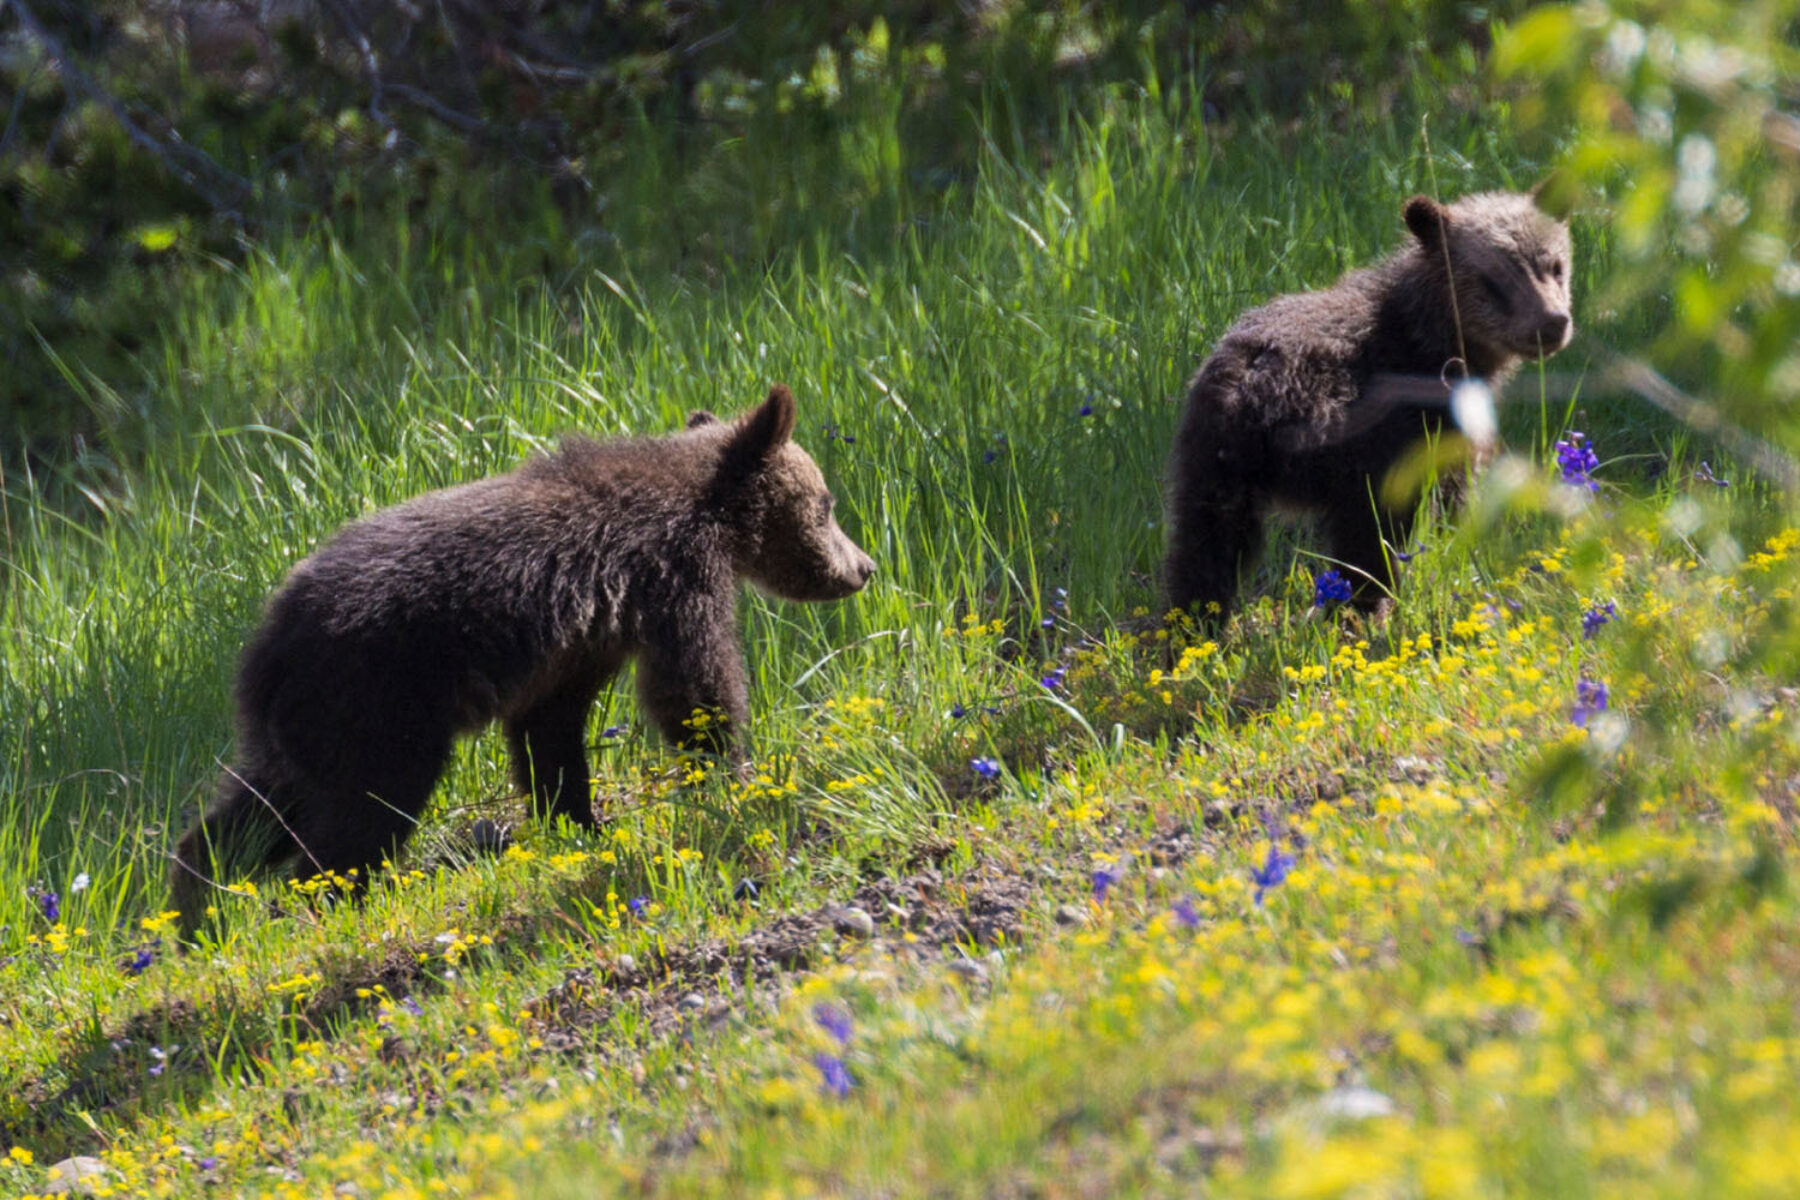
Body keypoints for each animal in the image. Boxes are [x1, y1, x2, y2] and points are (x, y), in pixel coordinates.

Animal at [170, 385, 874, 934]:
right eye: (827, 504)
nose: (863, 567)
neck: (707, 510)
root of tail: (265, 647)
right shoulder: (669, 579)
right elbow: (696, 687)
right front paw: (732, 777)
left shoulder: (582, 641)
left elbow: (549, 733)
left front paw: (581, 825)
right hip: (380, 705)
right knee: (358, 816)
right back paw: (339, 899)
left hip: (303, 731)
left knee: (254, 812)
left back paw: (196, 909)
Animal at [1164, 188, 1573, 624]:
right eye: (1495, 278)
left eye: (1555, 265)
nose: (1552, 322)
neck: (1433, 339)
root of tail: (1257, 391)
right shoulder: (1425, 429)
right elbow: (1450, 498)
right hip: (1353, 455)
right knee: (1364, 543)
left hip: (1213, 456)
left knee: (1205, 545)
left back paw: (1193, 622)